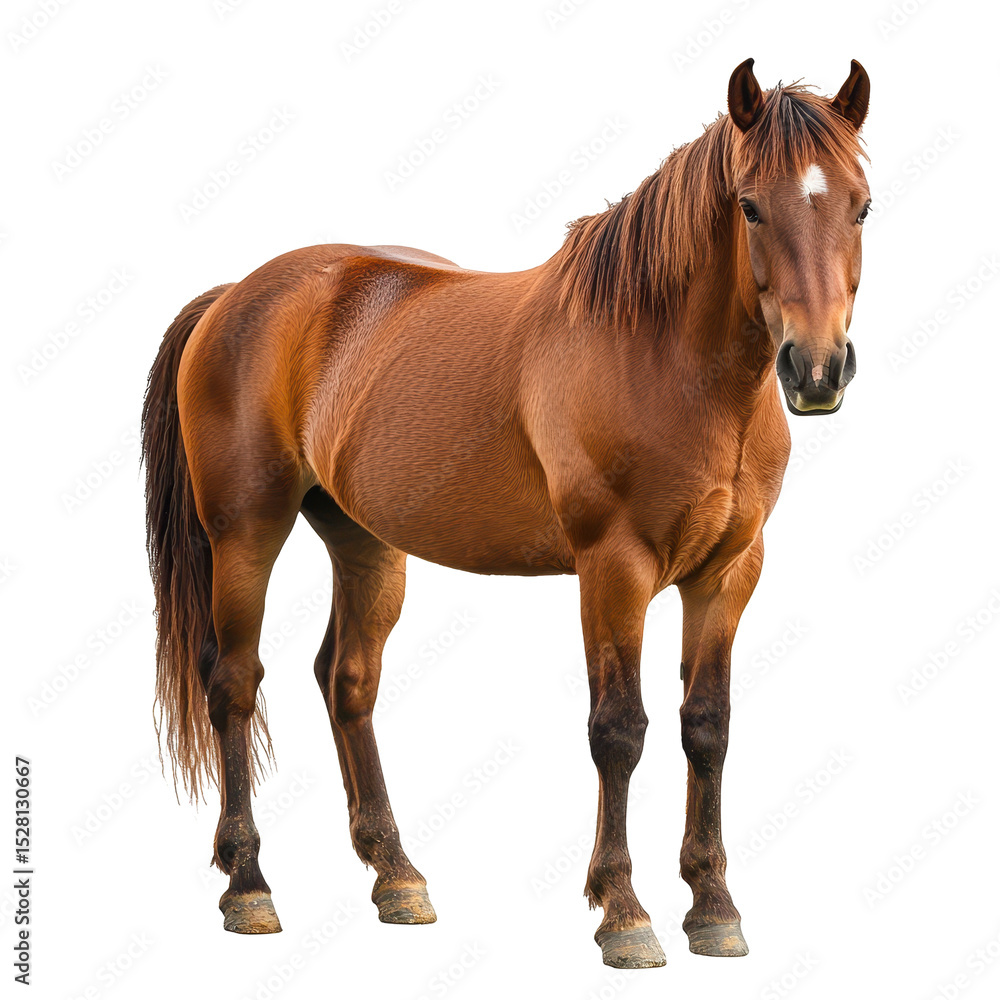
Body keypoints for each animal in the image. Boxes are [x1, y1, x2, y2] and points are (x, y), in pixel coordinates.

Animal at [142, 57, 871, 969]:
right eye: (749, 205)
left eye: (861, 205)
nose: (818, 370)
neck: (665, 357)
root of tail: (233, 295)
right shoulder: (613, 568)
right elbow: (618, 729)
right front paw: (623, 913)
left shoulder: (728, 574)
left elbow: (707, 727)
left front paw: (713, 907)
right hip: (245, 533)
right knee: (235, 683)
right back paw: (249, 886)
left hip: (366, 541)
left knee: (347, 680)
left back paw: (397, 876)